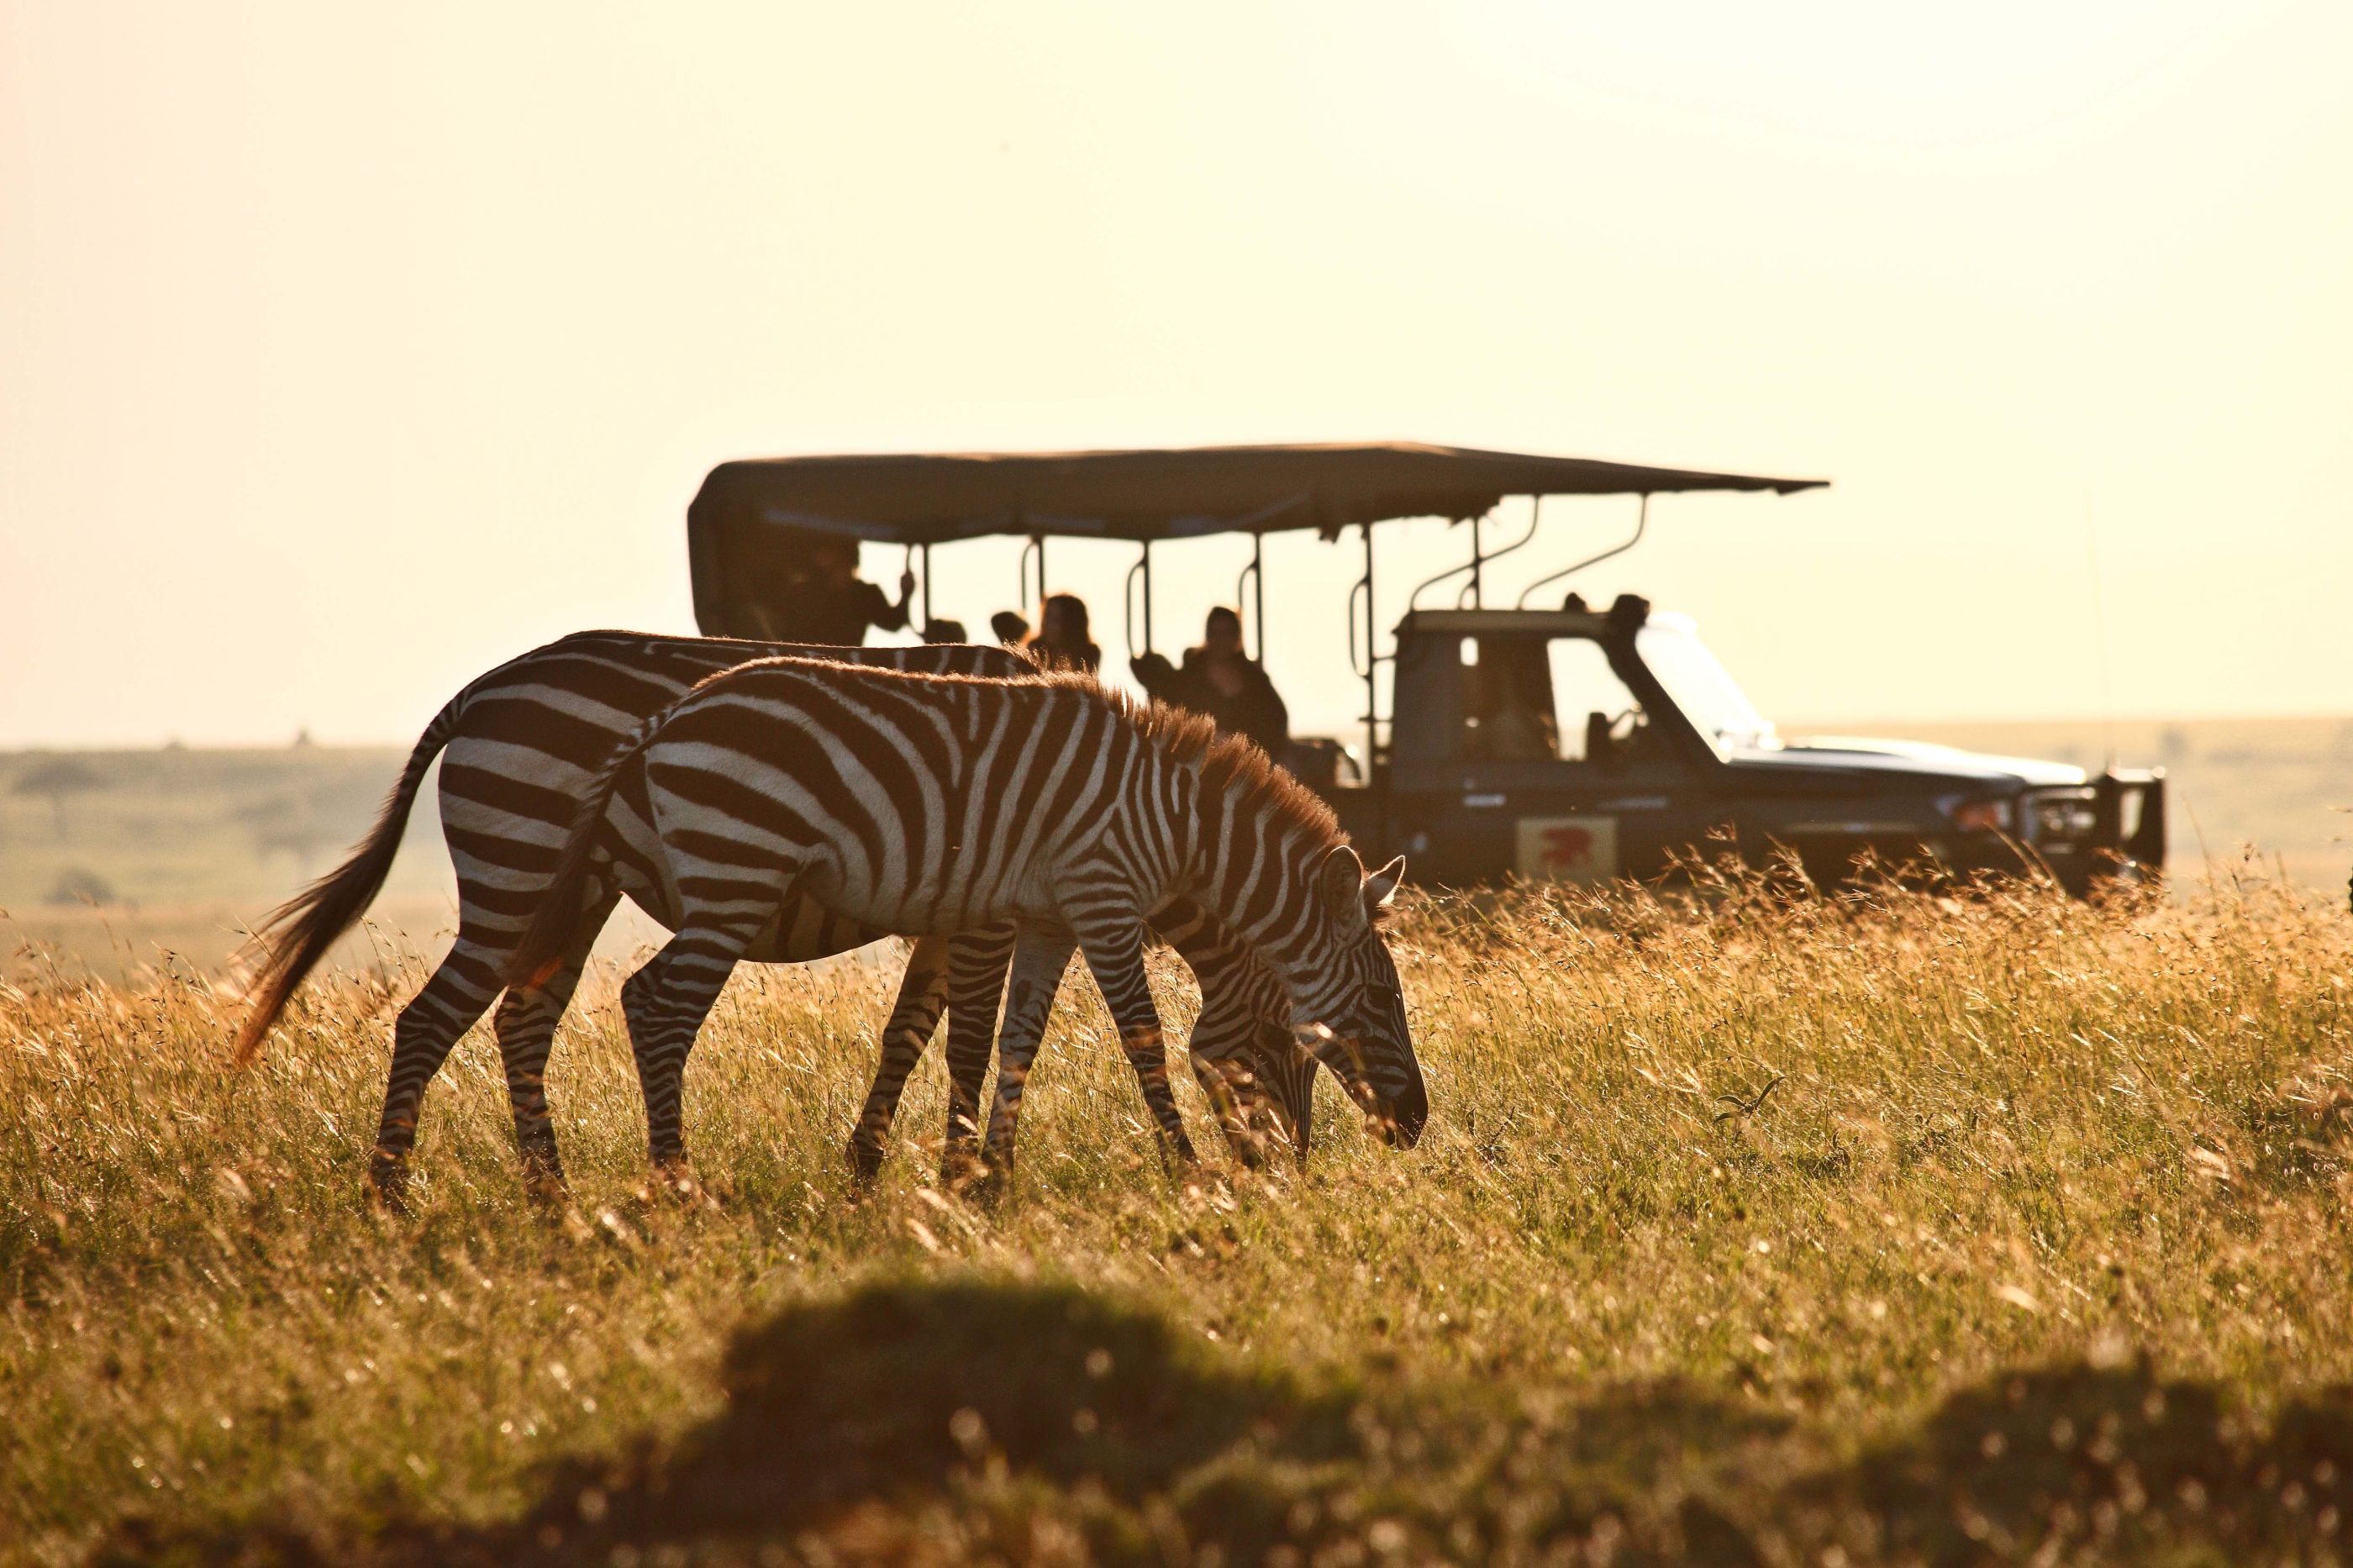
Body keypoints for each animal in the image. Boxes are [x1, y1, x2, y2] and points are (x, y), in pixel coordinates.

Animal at [224, 630, 1308, 1200]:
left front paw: (870, 1168)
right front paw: (954, 1172)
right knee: (434, 1019)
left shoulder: (950, 909)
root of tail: (482, 688)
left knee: (519, 1020)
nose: (1293, 1167)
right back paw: (395, 1196)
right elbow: (963, 1037)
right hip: (520, 866)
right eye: (1297, 1037)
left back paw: (552, 1198)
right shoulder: (984, 911)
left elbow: (909, 1030)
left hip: (571, 895)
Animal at [510, 645, 1430, 1158]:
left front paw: (991, 1187)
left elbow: (1020, 1044)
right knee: (656, 1005)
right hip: (737, 872)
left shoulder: (1050, 919)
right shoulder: (1101, 900)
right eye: (1380, 995)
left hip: (647, 886)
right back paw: (674, 1186)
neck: (1174, 825)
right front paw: (1188, 1175)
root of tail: (665, 718)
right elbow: (1140, 1039)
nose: (1415, 1126)